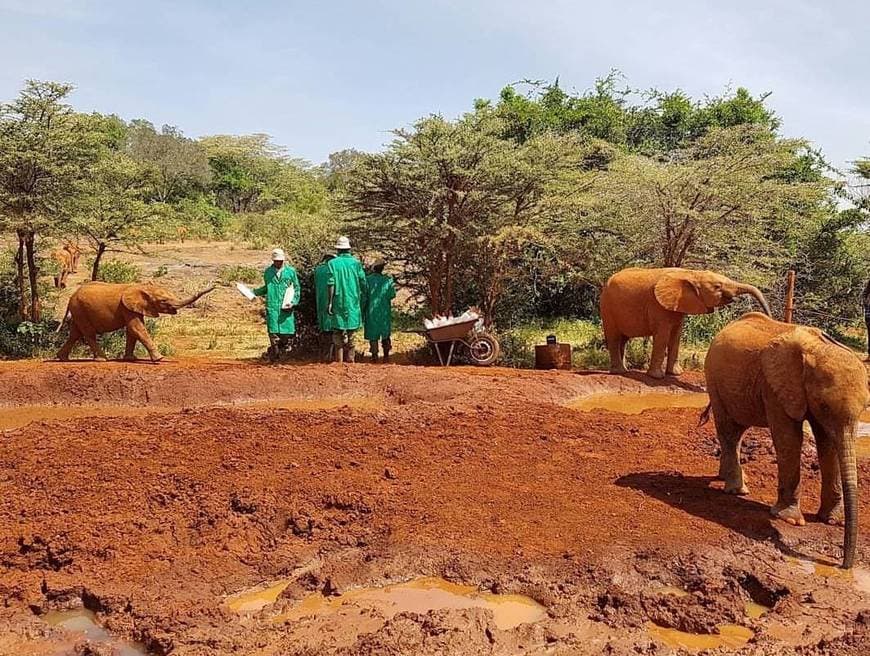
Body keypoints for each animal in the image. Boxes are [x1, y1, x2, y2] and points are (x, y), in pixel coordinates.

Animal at [58, 280, 215, 362]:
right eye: (163, 301)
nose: (214, 286)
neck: (143, 287)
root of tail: (71, 296)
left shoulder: (134, 308)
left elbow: (132, 331)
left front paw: (131, 359)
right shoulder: (126, 307)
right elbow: (136, 328)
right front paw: (159, 359)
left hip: (78, 310)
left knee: (75, 333)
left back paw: (62, 358)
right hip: (80, 309)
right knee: (88, 333)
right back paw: (103, 359)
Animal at [604, 268, 772, 380]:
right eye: (717, 287)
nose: (769, 316)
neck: (691, 273)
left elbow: (676, 335)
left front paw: (675, 374)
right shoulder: (657, 306)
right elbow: (663, 335)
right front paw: (657, 377)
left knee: (623, 339)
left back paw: (625, 370)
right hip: (607, 307)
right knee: (614, 337)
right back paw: (620, 372)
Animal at [704, 312, 868, 568]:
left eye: (865, 408)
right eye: (824, 405)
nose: (843, 565)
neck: (817, 348)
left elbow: (828, 443)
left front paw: (831, 520)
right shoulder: (775, 388)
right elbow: (789, 438)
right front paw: (790, 520)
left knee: (738, 430)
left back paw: (727, 479)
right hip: (714, 379)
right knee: (728, 430)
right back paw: (737, 490)